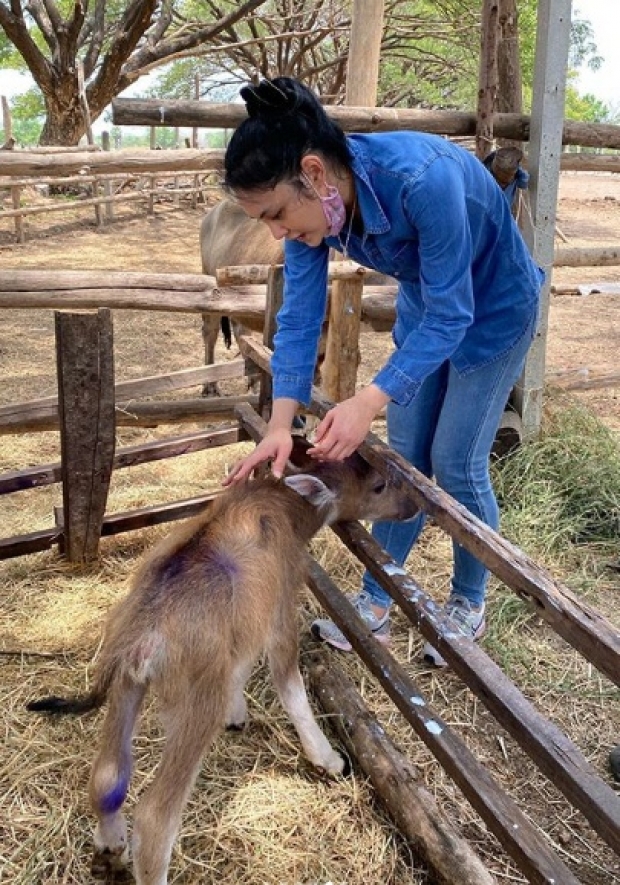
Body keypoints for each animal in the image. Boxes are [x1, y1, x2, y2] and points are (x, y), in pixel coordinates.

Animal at [29, 440, 416, 884]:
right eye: (379, 484)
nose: (411, 506)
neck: (283, 507)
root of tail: (142, 635)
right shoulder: (279, 612)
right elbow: (292, 690)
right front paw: (328, 759)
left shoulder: (246, 622)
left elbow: (243, 666)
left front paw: (238, 713)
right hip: (196, 704)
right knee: (155, 818)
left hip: (127, 687)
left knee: (108, 779)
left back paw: (110, 849)